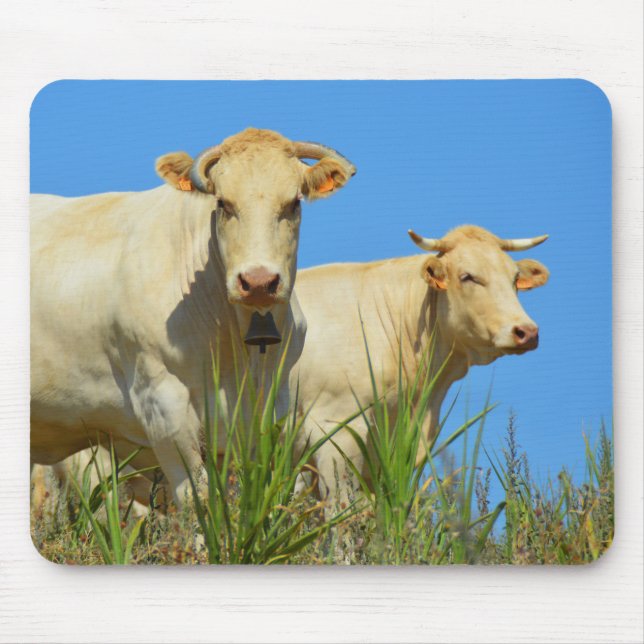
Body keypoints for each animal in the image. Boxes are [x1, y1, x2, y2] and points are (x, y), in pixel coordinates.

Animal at [30, 128, 356, 507]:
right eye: (223, 203)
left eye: (294, 203)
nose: (259, 281)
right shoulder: (162, 404)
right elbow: (197, 496)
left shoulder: (268, 408)